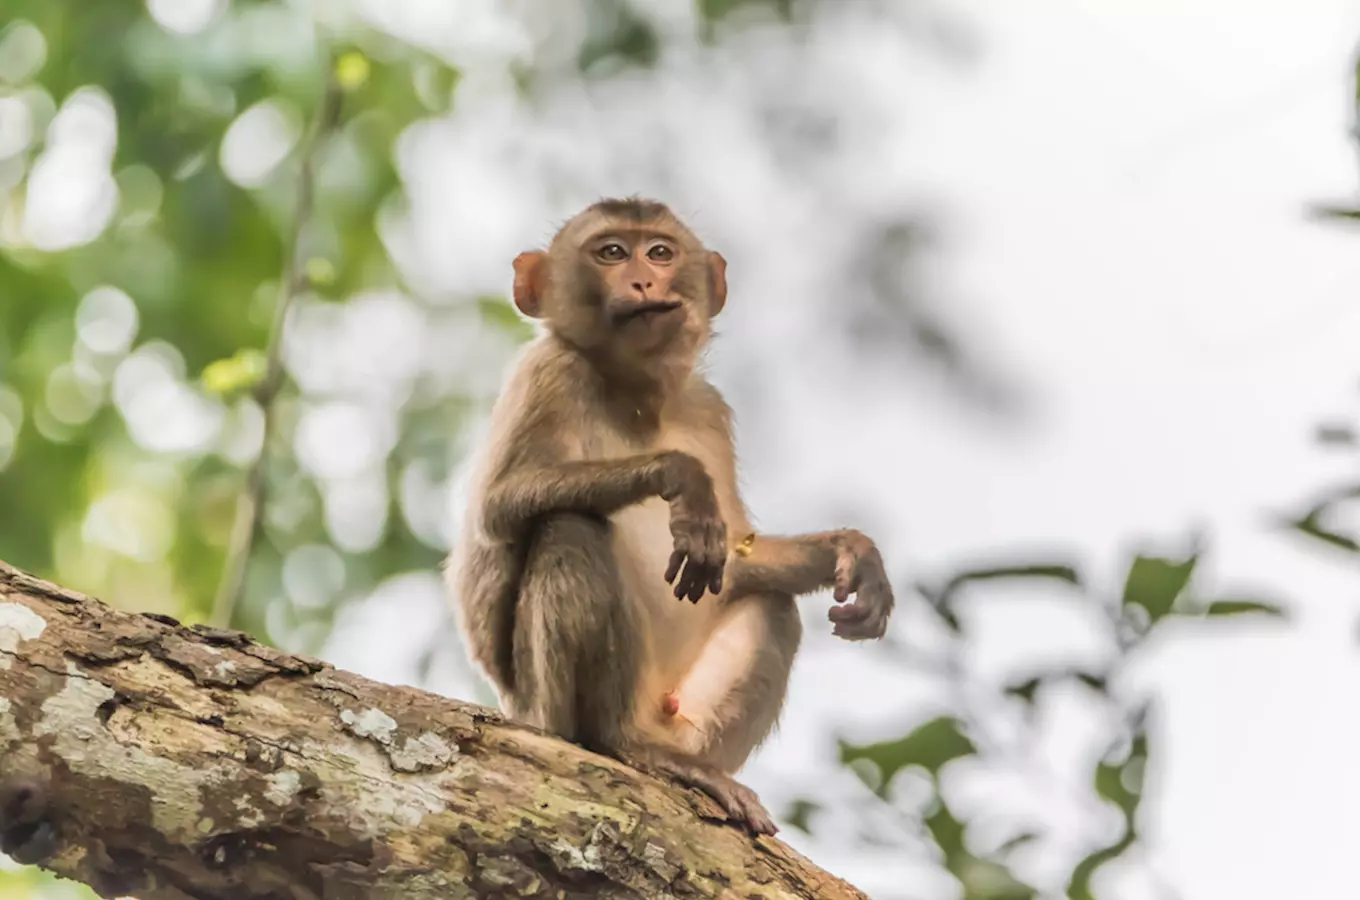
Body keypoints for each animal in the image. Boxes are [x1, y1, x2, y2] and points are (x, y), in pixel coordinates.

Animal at [446, 197, 892, 837]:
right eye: (611, 252)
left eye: (659, 252)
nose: (642, 281)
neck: (636, 395)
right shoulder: (548, 372)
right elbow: (498, 508)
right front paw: (681, 477)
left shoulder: (708, 408)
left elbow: (738, 556)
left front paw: (850, 552)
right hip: (544, 707)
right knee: (569, 527)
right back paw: (617, 742)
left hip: (680, 710)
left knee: (773, 604)